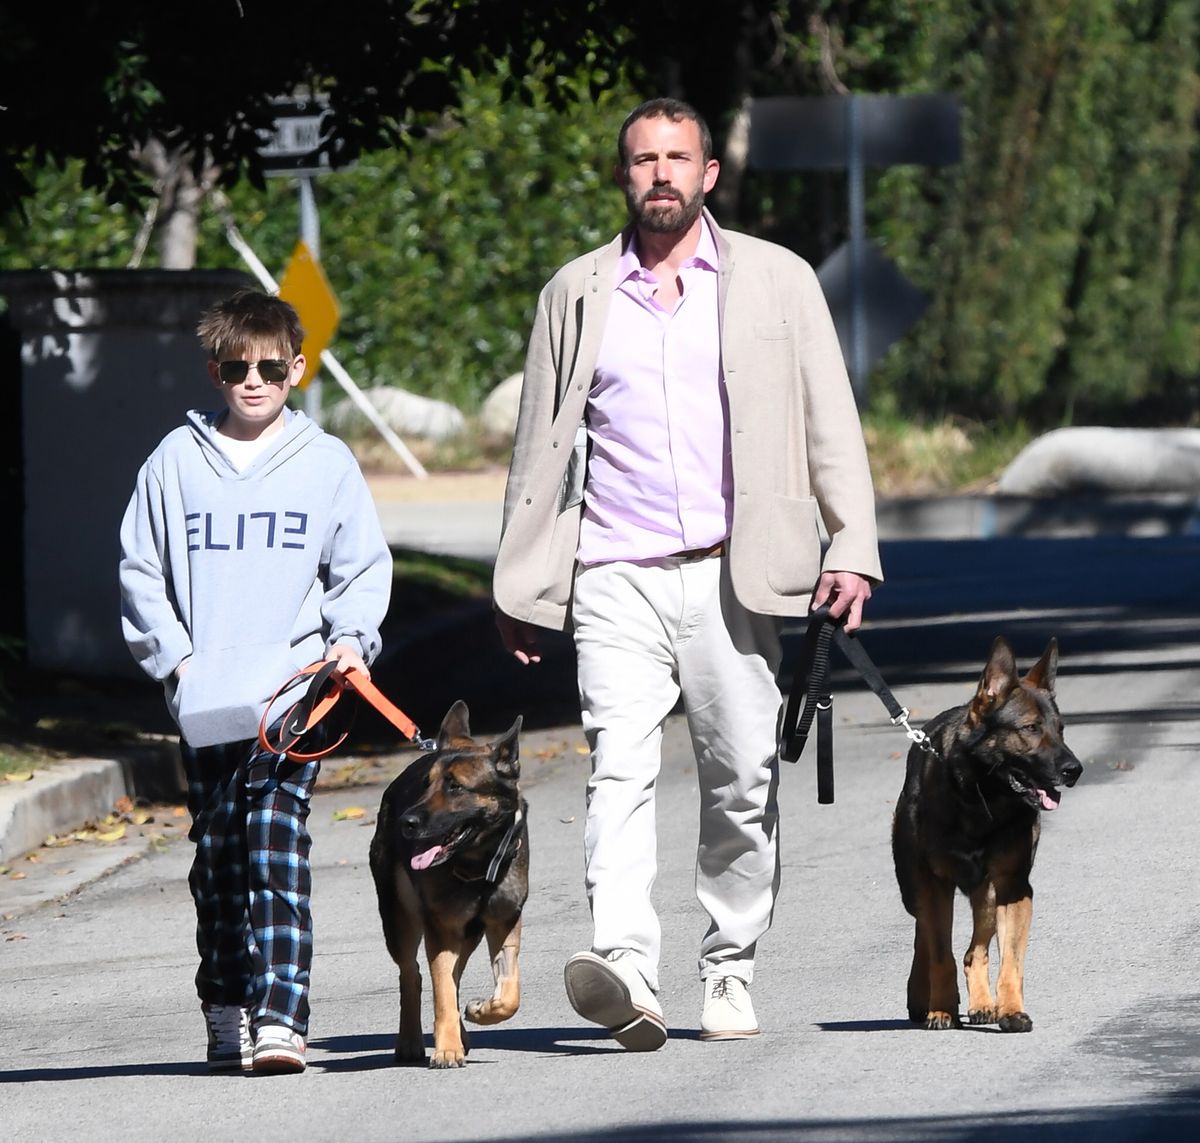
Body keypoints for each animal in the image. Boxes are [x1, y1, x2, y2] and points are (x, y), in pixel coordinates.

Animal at [367, 701, 528, 1066]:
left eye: (455, 787)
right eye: (426, 784)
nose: (406, 822)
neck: (479, 863)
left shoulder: (503, 924)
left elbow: (509, 995)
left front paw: (483, 1011)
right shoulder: (441, 929)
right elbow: (441, 990)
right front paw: (447, 1048)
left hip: (467, 934)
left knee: (452, 976)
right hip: (401, 919)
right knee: (412, 974)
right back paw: (411, 1040)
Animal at [892, 638, 1089, 1032]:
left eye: (1061, 729)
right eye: (1030, 728)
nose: (1074, 770)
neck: (982, 799)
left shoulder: (1013, 888)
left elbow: (1010, 962)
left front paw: (1011, 1009)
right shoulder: (935, 884)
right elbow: (940, 954)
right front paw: (942, 1009)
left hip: (987, 895)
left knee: (974, 951)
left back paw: (984, 1003)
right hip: (915, 888)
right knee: (925, 936)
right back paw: (923, 997)